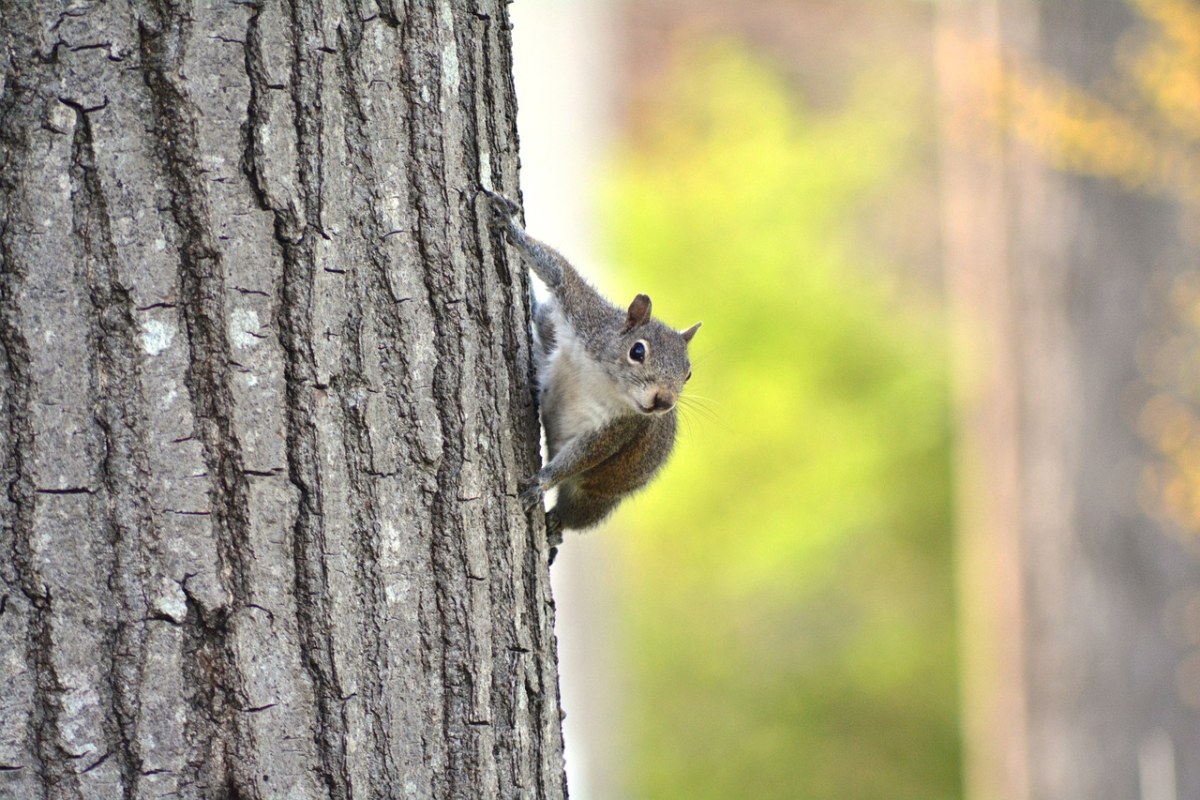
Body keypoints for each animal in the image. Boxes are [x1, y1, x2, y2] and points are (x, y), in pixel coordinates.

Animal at [480, 190, 700, 561]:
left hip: (596, 497)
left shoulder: (619, 427)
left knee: (575, 515)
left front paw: (539, 483)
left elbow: (585, 454)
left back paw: (554, 527)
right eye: (637, 351)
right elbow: (558, 272)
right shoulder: (584, 316)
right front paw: (511, 228)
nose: (664, 402)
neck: (603, 379)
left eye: (687, 374)